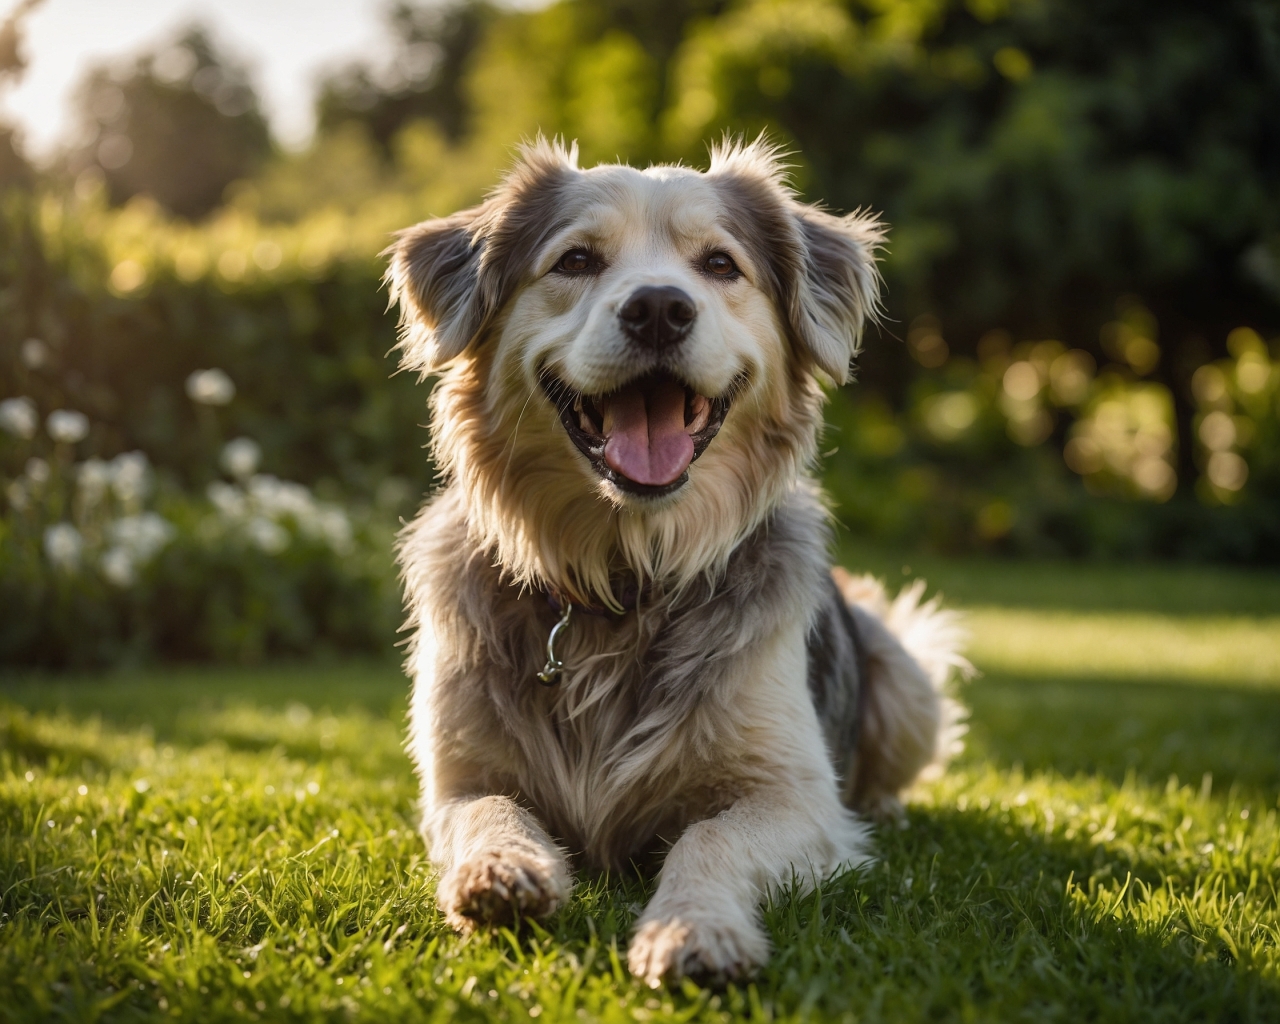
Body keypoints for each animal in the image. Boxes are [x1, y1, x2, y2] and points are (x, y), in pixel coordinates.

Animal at [384, 133, 962, 983]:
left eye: (720, 264)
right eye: (577, 259)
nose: (658, 306)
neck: (627, 573)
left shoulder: (793, 796)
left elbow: (708, 836)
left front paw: (693, 928)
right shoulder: (456, 780)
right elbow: (489, 811)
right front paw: (501, 870)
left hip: (902, 667)